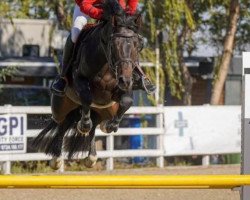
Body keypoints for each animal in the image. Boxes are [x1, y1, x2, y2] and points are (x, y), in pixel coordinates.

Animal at [32, 0, 144, 169]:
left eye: (137, 45)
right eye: (113, 44)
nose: (125, 80)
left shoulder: (124, 87)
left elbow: (127, 100)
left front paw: (111, 126)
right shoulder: (80, 80)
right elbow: (87, 97)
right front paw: (83, 125)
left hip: (106, 109)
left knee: (96, 123)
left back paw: (92, 155)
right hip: (59, 108)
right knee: (62, 124)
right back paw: (56, 159)